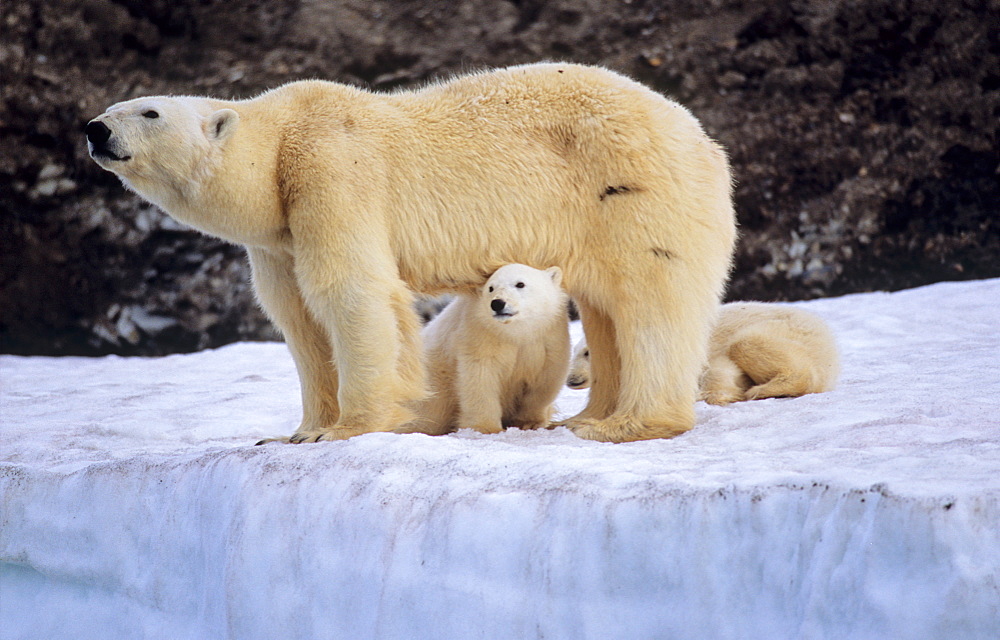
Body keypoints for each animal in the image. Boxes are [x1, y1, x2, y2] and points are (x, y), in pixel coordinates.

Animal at [86, 65, 740, 444]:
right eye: (118, 106)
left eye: (150, 111)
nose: (95, 129)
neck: (277, 151)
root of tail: (703, 138)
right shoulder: (278, 235)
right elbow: (296, 316)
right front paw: (297, 431)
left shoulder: (332, 173)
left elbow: (350, 292)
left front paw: (346, 429)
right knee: (605, 309)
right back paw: (589, 416)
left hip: (631, 191)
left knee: (651, 301)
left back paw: (632, 423)